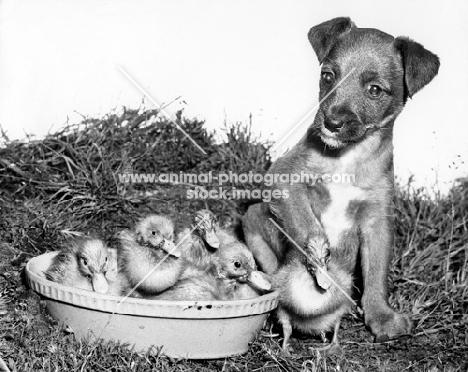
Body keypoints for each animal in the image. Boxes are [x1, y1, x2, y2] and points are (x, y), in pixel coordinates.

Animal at [243, 16, 440, 344]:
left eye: (375, 90)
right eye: (327, 75)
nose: (331, 122)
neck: (347, 156)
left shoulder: (377, 221)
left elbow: (377, 272)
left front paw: (380, 316)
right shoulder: (283, 177)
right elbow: (307, 224)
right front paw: (318, 255)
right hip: (253, 218)